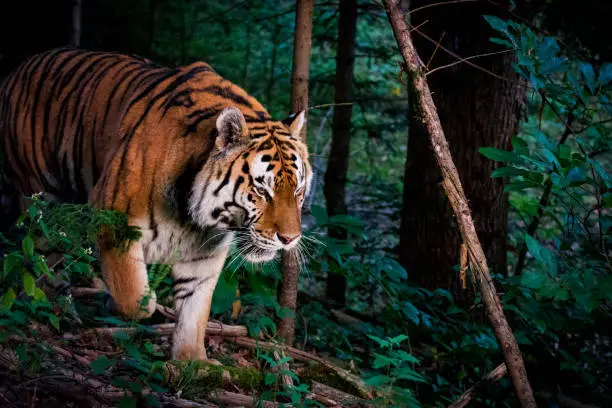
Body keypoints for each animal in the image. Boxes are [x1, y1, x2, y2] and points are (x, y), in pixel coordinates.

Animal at [0, 47, 314, 360]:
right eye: (262, 190)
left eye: (298, 190)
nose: (289, 238)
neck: (196, 218)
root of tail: (18, 68)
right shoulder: (115, 222)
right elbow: (134, 296)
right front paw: (126, 301)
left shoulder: (204, 255)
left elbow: (194, 312)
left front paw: (192, 362)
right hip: (39, 199)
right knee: (33, 254)